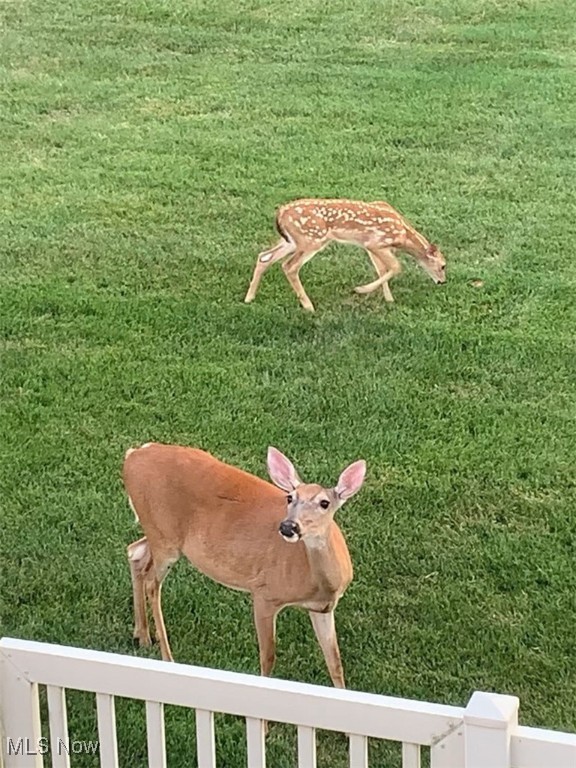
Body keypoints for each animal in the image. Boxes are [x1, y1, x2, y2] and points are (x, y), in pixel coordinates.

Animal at [122, 440, 364, 688]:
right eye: (290, 498)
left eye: (324, 503)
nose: (288, 526)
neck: (320, 585)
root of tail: (133, 455)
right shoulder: (265, 594)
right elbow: (268, 657)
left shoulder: (323, 608)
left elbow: (335, 662)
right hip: (164, 536)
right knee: (152, 582)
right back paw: (167, 658)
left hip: (158, 534)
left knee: (135, 552)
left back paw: (142, 636)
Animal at [243, 198, 446, 312]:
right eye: (443, 265)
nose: (442, 282)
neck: (403, 235)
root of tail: (280, 214)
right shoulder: (376, 243)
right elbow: (396, 267)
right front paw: (360, 290)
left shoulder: (370, 246)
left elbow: (382, 269)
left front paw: (389, 299)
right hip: (312, 239)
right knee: (289, 266)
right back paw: (309, 306)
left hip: (291, 241)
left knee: (264, 256)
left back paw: (249, 298)